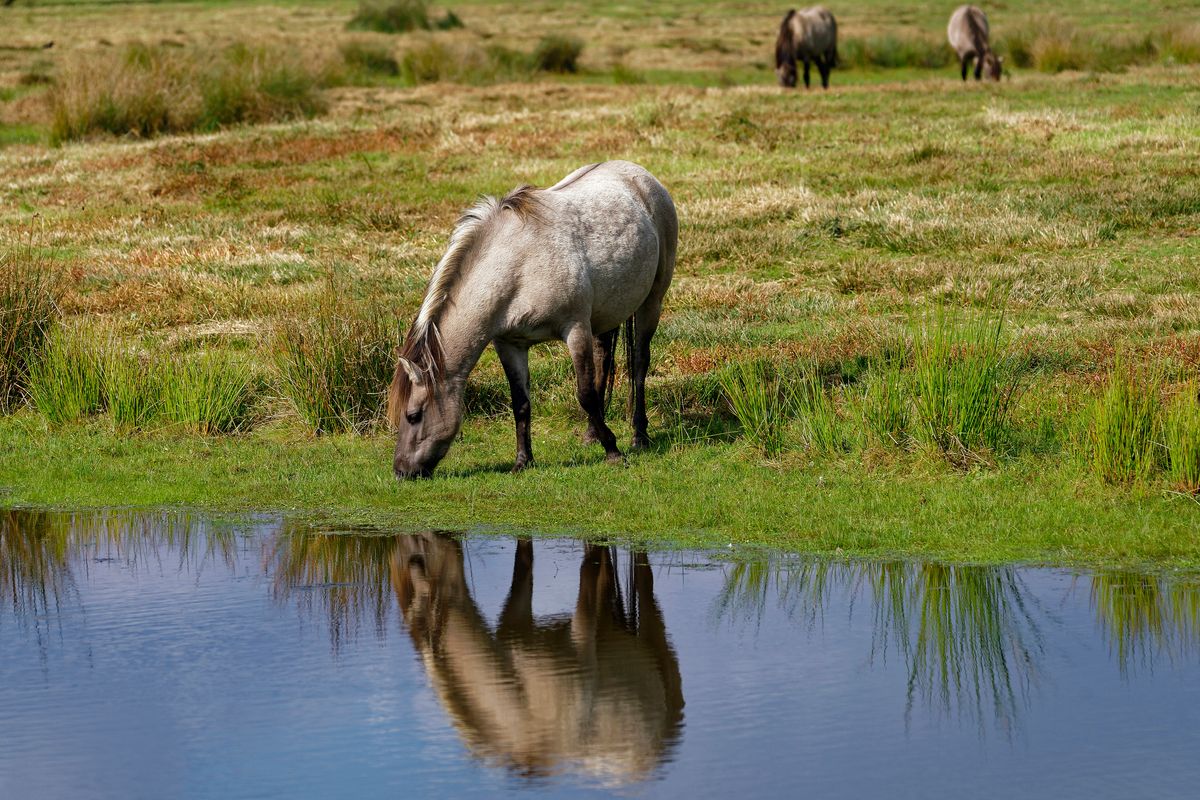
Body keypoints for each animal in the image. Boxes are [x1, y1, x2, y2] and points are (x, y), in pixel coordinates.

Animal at [388, 532, 681, 782]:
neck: (522, 707)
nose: (402, 543)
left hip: (654, 635)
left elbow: (588, 567)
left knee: (644, 578)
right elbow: (525, 558)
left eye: (419, 551)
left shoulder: (581, 635)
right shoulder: (517, 622)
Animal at [391, 159, 681, 479]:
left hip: (651, 302)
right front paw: (523, 461)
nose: (401, 471)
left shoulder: (575, 330)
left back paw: (639, 436)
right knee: (604, 359)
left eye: (413, 415)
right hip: (607, 313)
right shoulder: (510, 344)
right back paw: (592, 433)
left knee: (639, 364)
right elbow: (521, 402)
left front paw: (614, 452)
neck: (518, 266)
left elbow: (585, 394)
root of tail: (642, 176)